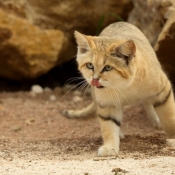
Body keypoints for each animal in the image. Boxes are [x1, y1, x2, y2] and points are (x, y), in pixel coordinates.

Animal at [60, 21, 175, 157]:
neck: (124, 86)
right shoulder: (107, 103)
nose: (94, 80)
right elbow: (109, 125)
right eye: (90, 65)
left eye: (108, 68)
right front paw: (110, 146)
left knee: (147, 102)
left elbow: (169, 117)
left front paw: (173, 136)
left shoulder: (163, 89)